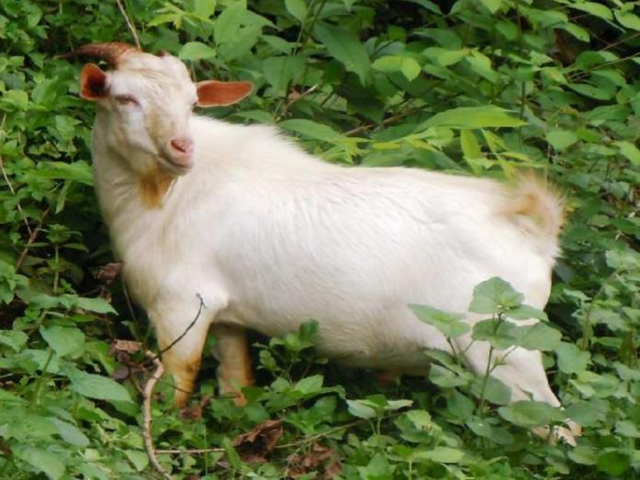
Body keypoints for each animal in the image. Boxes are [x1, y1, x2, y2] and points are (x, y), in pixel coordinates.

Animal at [66, 43, 580, 444]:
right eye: (125, 97)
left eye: (192, 102)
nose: (181, 147)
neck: (170, 194)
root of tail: (531, 227)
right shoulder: (228, 318)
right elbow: (237, 387)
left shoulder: (181, 306)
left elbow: (174, 387)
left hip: (508, 352)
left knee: (560, 427)